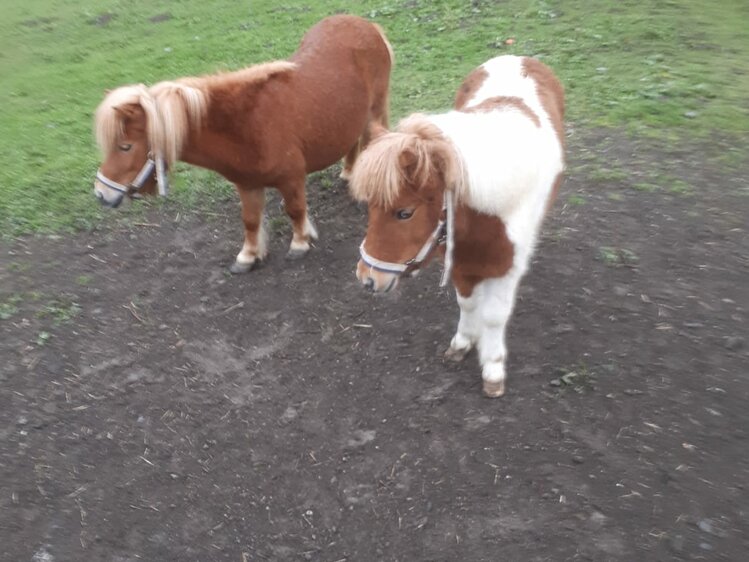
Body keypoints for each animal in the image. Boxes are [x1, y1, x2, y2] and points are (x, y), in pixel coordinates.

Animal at [93, 14, 392, 272]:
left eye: (125, 146)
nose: (100, 194)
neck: (246, 127)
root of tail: (367, 26)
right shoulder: (247, 184)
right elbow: (250, 221)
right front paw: (248, 256)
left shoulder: (292, 178)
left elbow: (295, 210)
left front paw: (300, 243)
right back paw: (348, 173)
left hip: (374, 112)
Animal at [350, 55, 560, 398]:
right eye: (370, 208)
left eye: (405, 213)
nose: (367, 278)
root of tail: (518, 58)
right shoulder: (462, 263)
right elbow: (468, 304)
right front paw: (462, 344)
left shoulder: (506, 269)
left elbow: (494, 317)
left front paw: (493, 368)